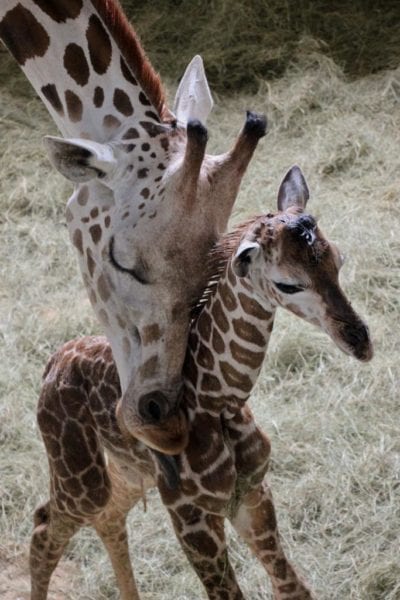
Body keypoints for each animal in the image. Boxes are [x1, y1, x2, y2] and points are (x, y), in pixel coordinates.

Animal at [30, 165, 372, 600]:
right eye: (288, 284)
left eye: (338, 259)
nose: (360, 341)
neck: (217, 400)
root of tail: (52, 363)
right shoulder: (190, 515)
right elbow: (229, 593)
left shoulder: (252, 494)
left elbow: (293, 588)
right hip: (81, 478)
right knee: (44, 526)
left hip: (127, 472)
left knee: (108, 517)